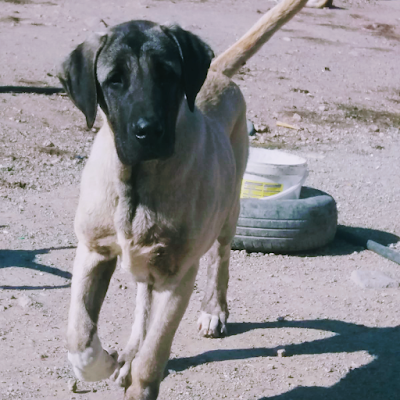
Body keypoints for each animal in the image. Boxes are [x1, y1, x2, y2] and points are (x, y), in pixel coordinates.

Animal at [59, 0, 308, 398]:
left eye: (166, 75)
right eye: (114, 80)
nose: (148, 132)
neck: (137, 183)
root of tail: (216, 72)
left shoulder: (179, 275)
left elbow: (153, 355)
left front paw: (140, 381)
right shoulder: (92, 250)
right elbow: (80, 337)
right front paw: (107, 362)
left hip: (229, 208)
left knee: (220, 258)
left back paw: (213, 310)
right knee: (142, 298)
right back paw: (128, 351)